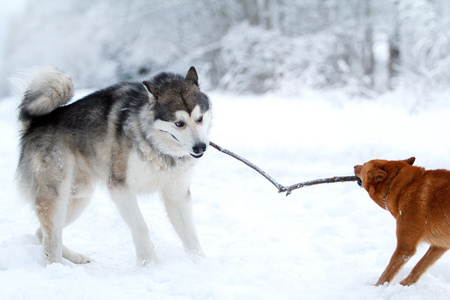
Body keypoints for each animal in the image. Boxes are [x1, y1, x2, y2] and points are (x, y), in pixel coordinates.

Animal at [16, 66, 213, 264]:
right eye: (179, 123)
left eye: (200, 118)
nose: (200, 147)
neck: (155, 146)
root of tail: (36, 123)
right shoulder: (120, 187)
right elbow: (140, 226)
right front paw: (149, 263)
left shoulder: (177, 194)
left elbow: (190, 235)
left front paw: (200, 262)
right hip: (57, 195)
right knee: (51, 241)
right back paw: (58, 267)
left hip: (79, 196)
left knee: (41, 233)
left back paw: (75, 258)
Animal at [356, 157, 450, 286]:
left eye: (364, 165)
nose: (354, 166)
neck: (404, 188)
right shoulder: (439, 245)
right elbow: (418, 268)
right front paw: (404, 285)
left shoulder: (405, 248)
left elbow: (387, 273)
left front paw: (376, 288)